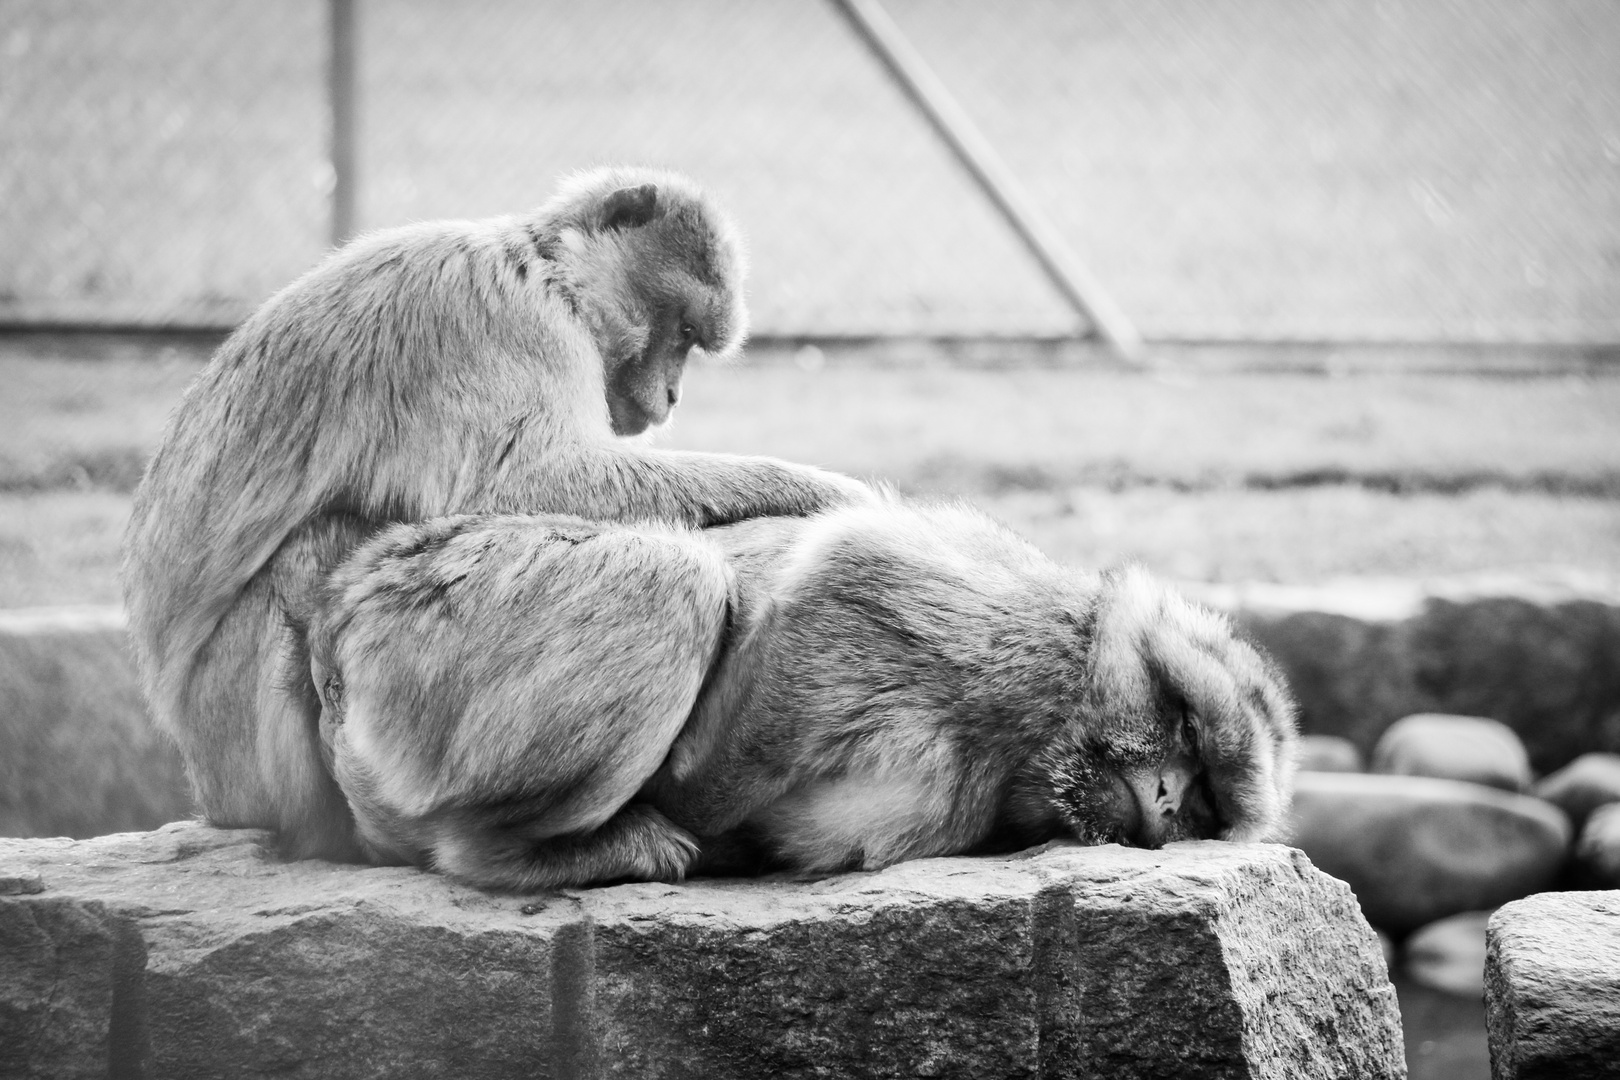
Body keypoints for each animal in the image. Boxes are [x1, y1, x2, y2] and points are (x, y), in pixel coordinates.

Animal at [309, 498, 1296, 887]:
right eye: (1183, 727)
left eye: (1204, 801)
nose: (1165, 799)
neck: (1028, 747)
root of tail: (341, 604)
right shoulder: (1011, 625)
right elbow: (841, 580)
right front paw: (696, 805)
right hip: (437, 618)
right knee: (678, 580)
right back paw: (512, 852)